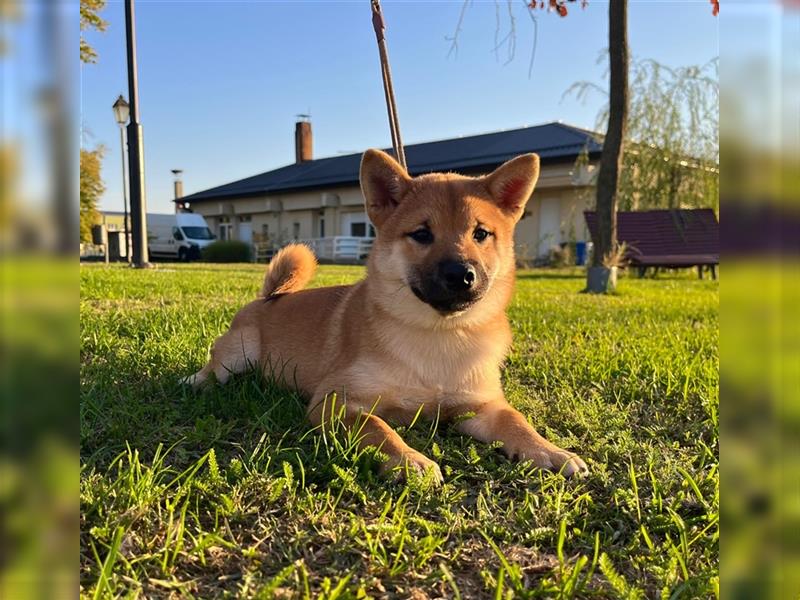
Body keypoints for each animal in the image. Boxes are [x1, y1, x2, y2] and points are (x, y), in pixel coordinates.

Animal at [188, 150, 588, 482]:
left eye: (481, 233)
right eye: (422, 234)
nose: (461, 274)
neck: (438, 336)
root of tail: (270, 298)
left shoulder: (479, 406)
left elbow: (516, 420)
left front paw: (548, 449)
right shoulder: (336, 401)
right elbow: (377, 427)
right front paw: (409, 459)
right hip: (240, 353)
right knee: (215, 368)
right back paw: (199, 382)